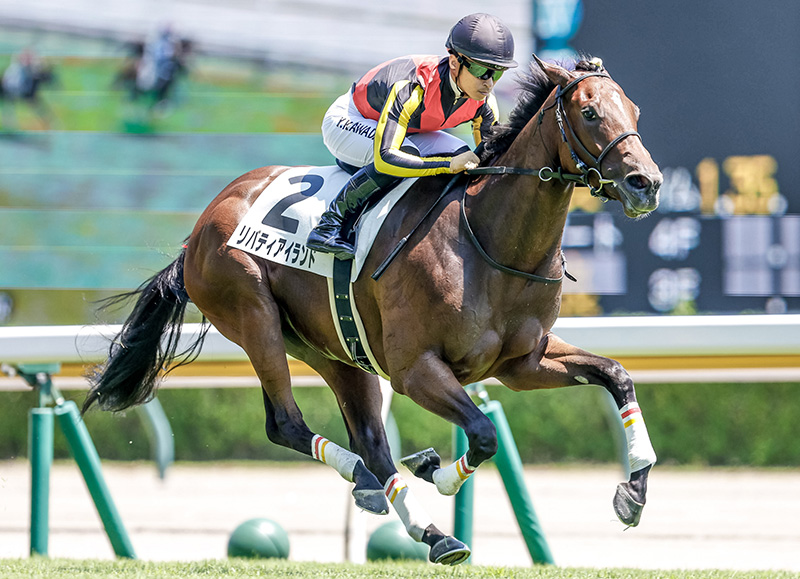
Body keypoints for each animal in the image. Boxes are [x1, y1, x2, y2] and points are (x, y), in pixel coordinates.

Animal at [86, 55, 664, 568]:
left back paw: (429, 532)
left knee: (369, 439)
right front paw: (438, 471)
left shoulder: (522, 365)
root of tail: (203, 224)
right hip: (254, 315)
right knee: (287, 424)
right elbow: (483, 433)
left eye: (635, 110)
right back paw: (370, 483)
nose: (647, 183)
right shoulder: (416, 370)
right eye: (589, 113)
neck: (491, 243)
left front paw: (633, 493)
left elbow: (617, 376)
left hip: (334, 348)